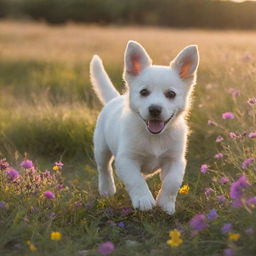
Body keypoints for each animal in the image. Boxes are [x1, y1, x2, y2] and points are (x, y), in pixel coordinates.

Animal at [90, 41, 200, 214]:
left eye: (171, 94)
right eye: (144, 92)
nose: (154, 109)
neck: (154, 137)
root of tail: (115, 99)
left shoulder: (176, 160)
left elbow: (172, 182)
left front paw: (166, 203)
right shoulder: (127, 159)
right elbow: (136, 180)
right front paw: (144, 200)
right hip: (101, 148)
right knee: (104, 168)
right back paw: (107, 189)